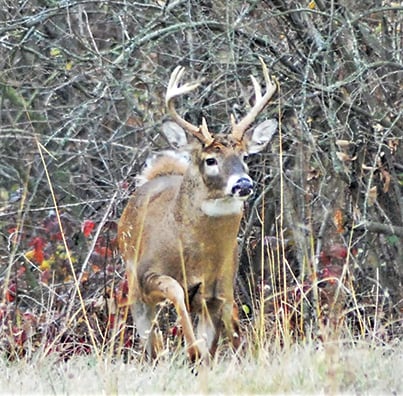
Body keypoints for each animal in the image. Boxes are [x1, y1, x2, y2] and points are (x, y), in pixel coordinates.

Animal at [117, 58, 278, 362]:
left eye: (245, 156)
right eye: (210, 159)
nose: (243, 183)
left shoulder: (217, 293)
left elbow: (209, 342)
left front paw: (197, 355)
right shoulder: (146, 275)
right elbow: (176, 292)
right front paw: (190, 350)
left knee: (231, 325)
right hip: (134, 288)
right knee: (149, 339)